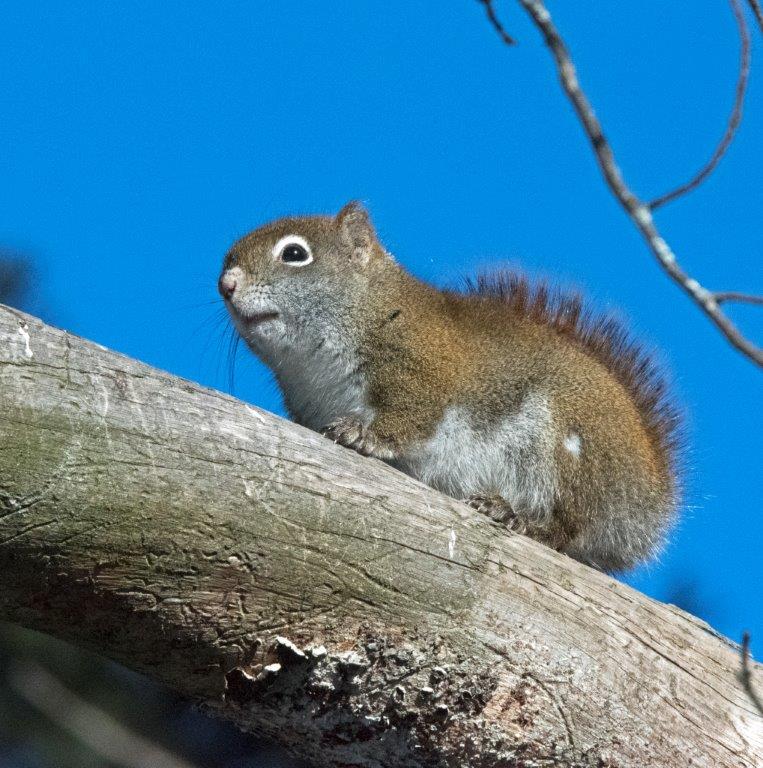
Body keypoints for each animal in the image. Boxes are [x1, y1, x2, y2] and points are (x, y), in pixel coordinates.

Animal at [218, 202, 682, 572]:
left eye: (295, 254)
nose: (226, 286)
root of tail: (648, 502)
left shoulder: (427, 374)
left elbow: (410, 420)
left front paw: (364, 434)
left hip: (566, 451)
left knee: (566, 529)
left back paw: (514, 516)